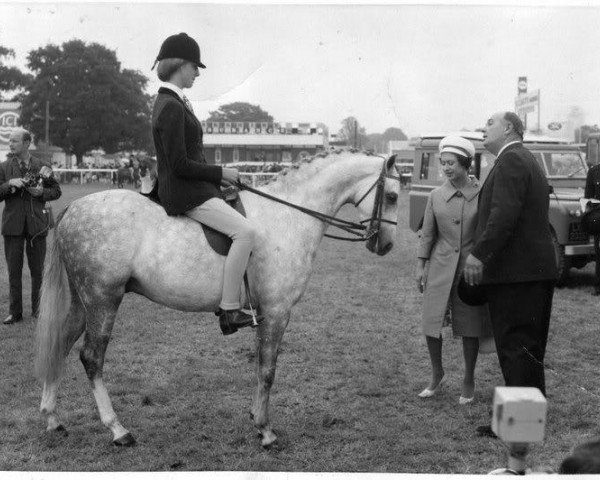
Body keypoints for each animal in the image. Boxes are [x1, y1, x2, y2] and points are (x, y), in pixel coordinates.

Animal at [36, 152, 404, 448]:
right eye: (394, 195)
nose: (385, 244)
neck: (286, 216)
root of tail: (73, 208)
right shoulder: (277, 311)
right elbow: (268, 370)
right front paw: (266, 431)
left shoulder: (264, 312)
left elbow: (259, 367)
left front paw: (256, 419)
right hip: (103, 299)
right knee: (91, 358)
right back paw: (118, 430)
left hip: (85, 301)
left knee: (61, 345)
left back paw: (53, 419)